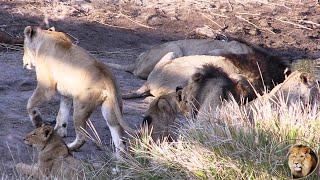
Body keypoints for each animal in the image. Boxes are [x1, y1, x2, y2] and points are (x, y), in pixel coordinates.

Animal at [22, 25, 132, 158]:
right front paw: (58, 132)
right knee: (118, 133)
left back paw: (69, 147)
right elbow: (62, 114)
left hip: (80, 107)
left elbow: (30, 103)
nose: (23, 62)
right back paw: (118, 158)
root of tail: (107, 77)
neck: (45, 36)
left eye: (23, 46)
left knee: (82, 136)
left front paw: (37, 120)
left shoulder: (46, 87)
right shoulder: (66, 94)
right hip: (110, 108)